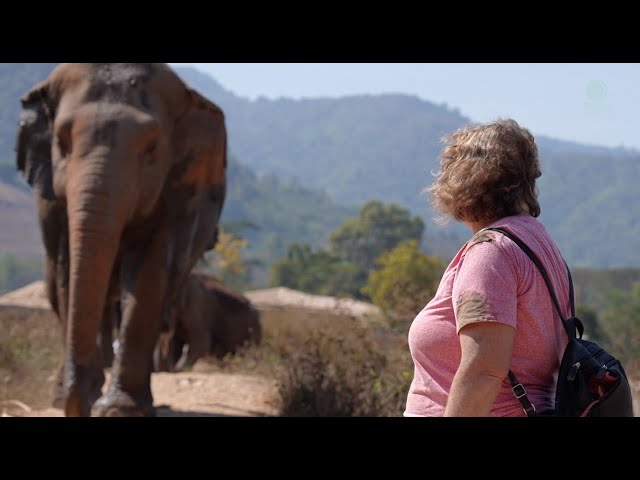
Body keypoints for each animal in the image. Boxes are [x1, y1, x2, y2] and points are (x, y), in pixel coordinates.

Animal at [13, 63, 229, 416]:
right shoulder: (51, 201)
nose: (79, 404)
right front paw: (83, 397)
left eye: (151, 149)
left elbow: (147, 273)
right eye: (62, 142)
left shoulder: (172, 192)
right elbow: (67, 270)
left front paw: (118, 409)